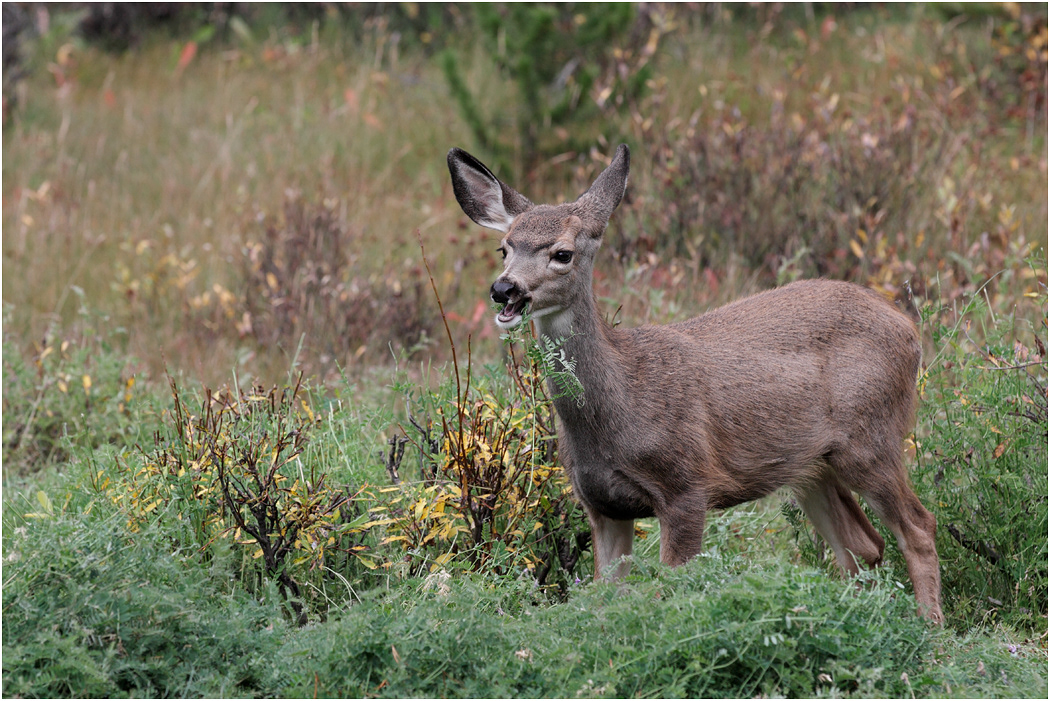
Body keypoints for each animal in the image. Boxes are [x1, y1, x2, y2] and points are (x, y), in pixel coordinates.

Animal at [447, 143, 943, 624]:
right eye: (504, 248)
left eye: (562, 253)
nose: (504, 290)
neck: (620, 402)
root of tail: (908, 327)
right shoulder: (601, 505)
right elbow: (604, 597)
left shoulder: (686, 486)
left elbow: (671, 590)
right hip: (812, 468)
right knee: (864, 546)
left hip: (871, 438)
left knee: (919, 527)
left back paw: (930, 629)